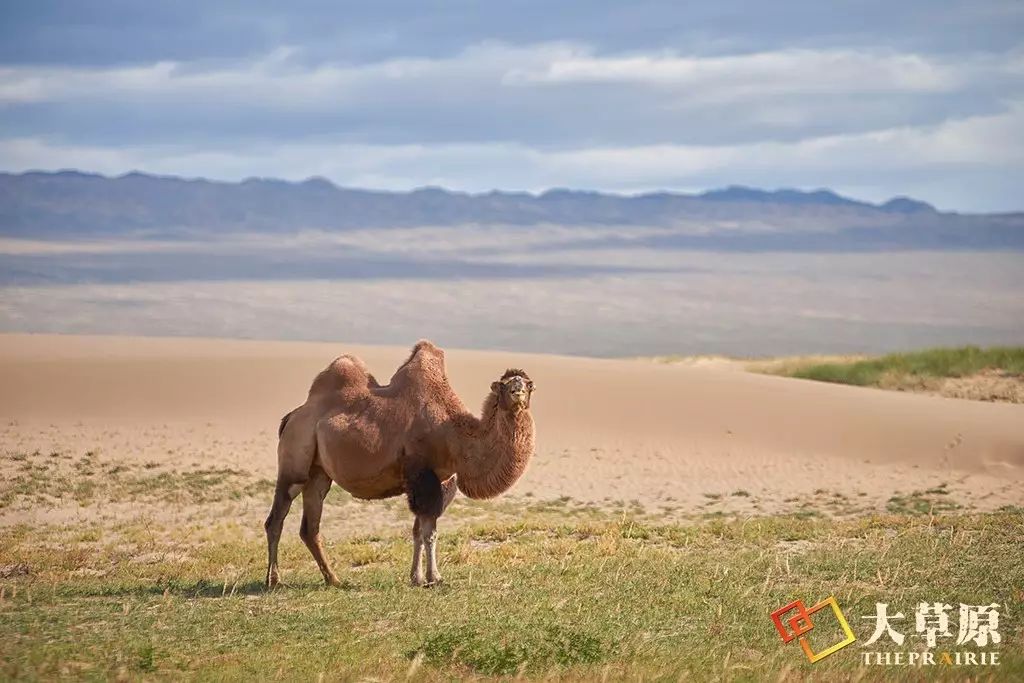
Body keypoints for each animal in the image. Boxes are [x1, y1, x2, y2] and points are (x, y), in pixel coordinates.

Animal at [264, 342, 536, 589]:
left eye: (528, 384)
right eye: (504, 385)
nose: (518, 391)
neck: (454, 433)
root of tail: (291, 417)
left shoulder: (441, 480)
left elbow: (419, 530)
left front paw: (417, 578)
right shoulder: (422, 475)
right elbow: (428, 532)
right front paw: (434, 578)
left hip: (318, 474)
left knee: (310, 527)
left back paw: (333, 579)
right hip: (294, 462)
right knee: (276, 518)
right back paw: (273, 580)